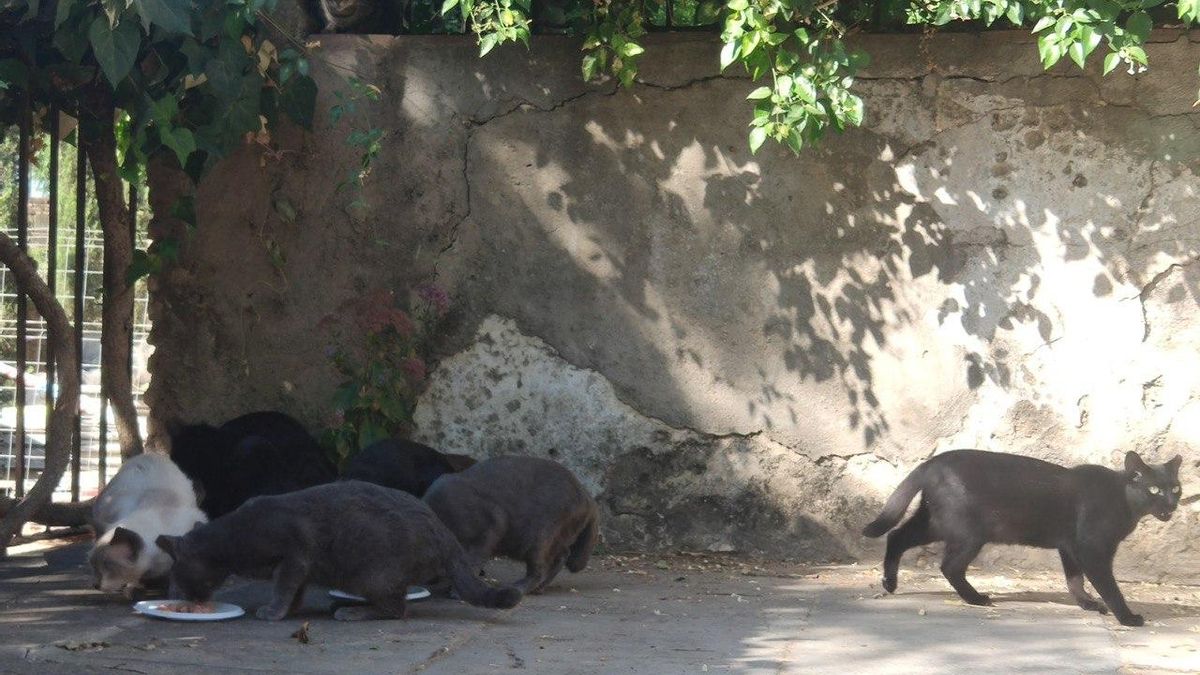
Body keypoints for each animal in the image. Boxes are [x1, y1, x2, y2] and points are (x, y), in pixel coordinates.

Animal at [153, 478, 520, 619]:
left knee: (397, 609)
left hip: (373, 575)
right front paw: (290, 610)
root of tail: (444, 534)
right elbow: (295, 590)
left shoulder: (294, 555)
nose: (178, 597)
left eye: (175, 580)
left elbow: (284, 587)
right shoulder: (299, 566)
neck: (233, 539)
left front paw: (273, 611)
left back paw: (353, 611)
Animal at [427, 454, 604, 590]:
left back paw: (521, 587)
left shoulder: (492, 523)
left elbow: (473, 559)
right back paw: (540, 587)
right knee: (562, 555)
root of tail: (589, 499)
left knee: (539, 569)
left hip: (541, 536)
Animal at [864, 446, 1180, 624]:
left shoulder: (1070, 547)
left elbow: (1074, 579)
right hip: (966, 532)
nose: (1171, 503)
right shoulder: (1093, 550)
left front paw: (1087, 604)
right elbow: (1110, 587)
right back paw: (977, 599)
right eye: (1153, 489)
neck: (1123, 499)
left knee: (897, 536)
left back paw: (890, 583)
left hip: (934, 522)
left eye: (1175, 487)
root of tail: (931, 462)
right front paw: (1127, 618)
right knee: (949, 565)